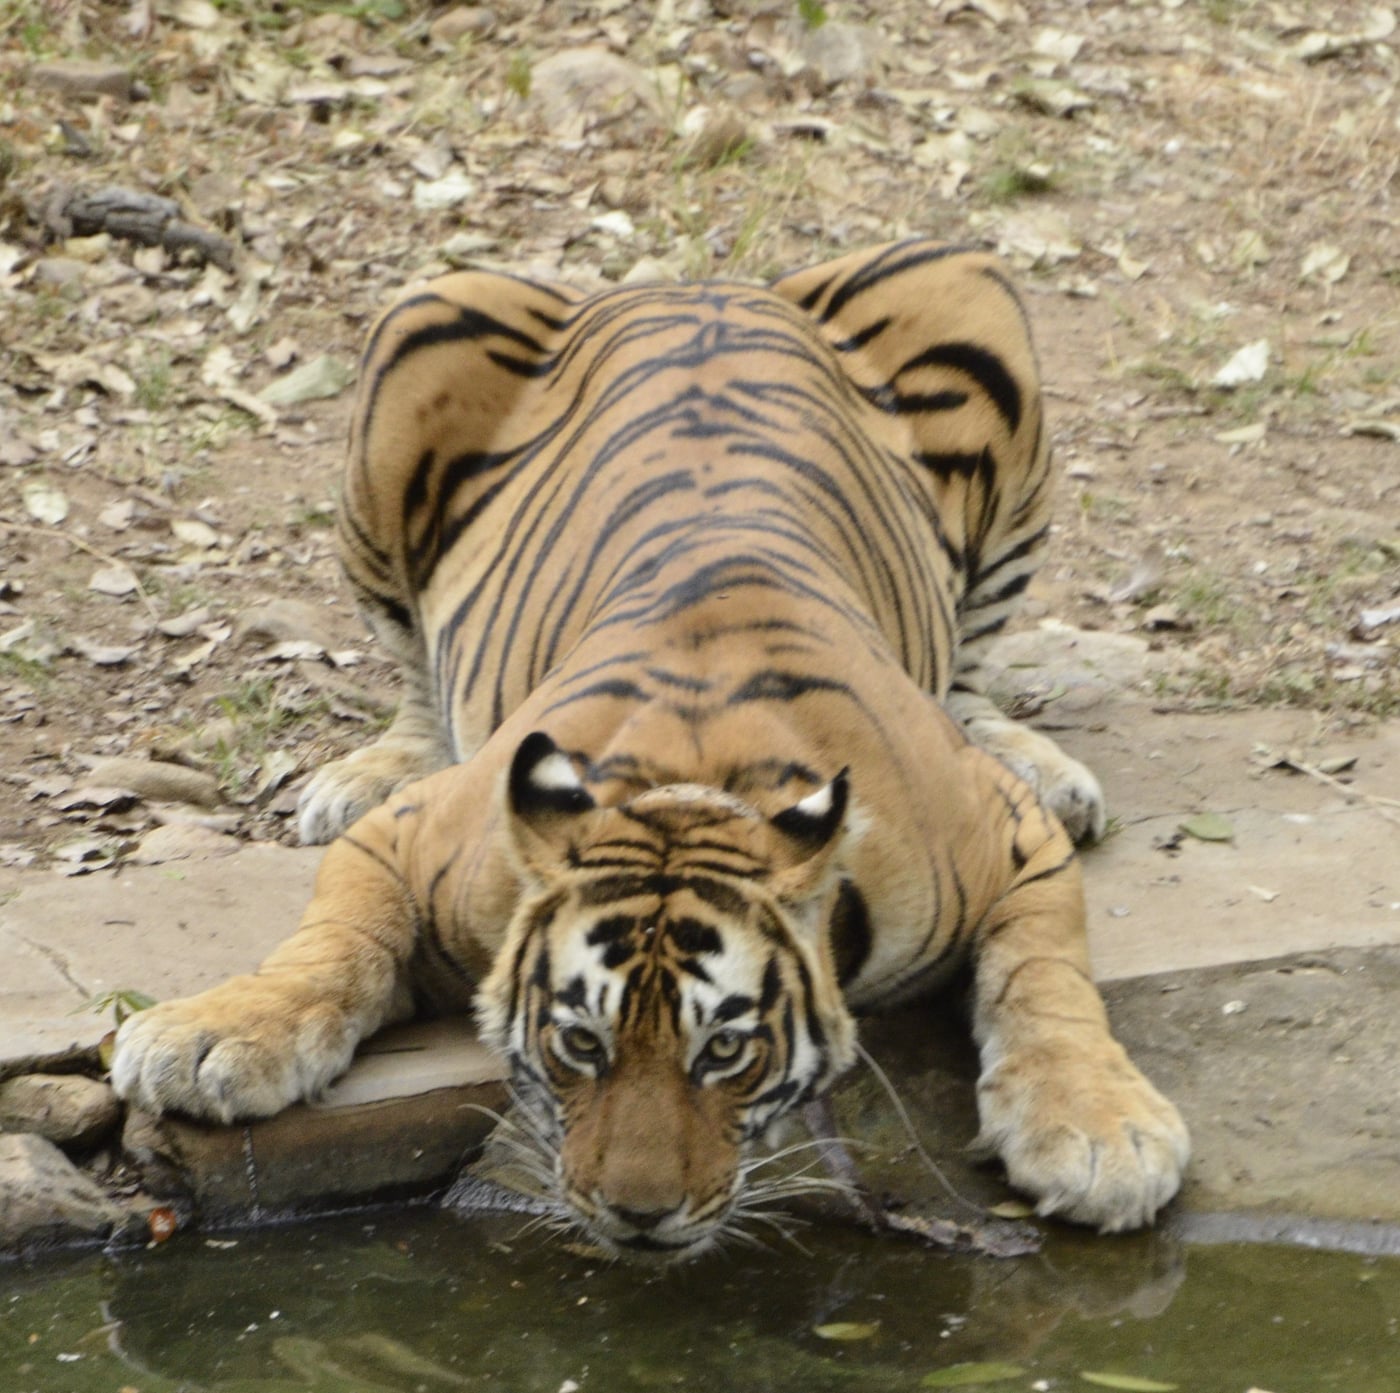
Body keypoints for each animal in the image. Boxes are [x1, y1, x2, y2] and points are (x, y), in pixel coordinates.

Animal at [112, 239, 1188, 1261]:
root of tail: (698, 280)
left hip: (968, 294)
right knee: (412, 671)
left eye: (724, 1050)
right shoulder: (411, 838)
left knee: (970, 663)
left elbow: (1043, 978)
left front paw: (1097, 1130)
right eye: (578, 1044)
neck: (694, 779)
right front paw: (211, 1035)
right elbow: (332, 941)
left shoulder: (1008, 839)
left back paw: (1044, 769)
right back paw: (363, 772)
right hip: (419, 324)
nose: (635, 1212)